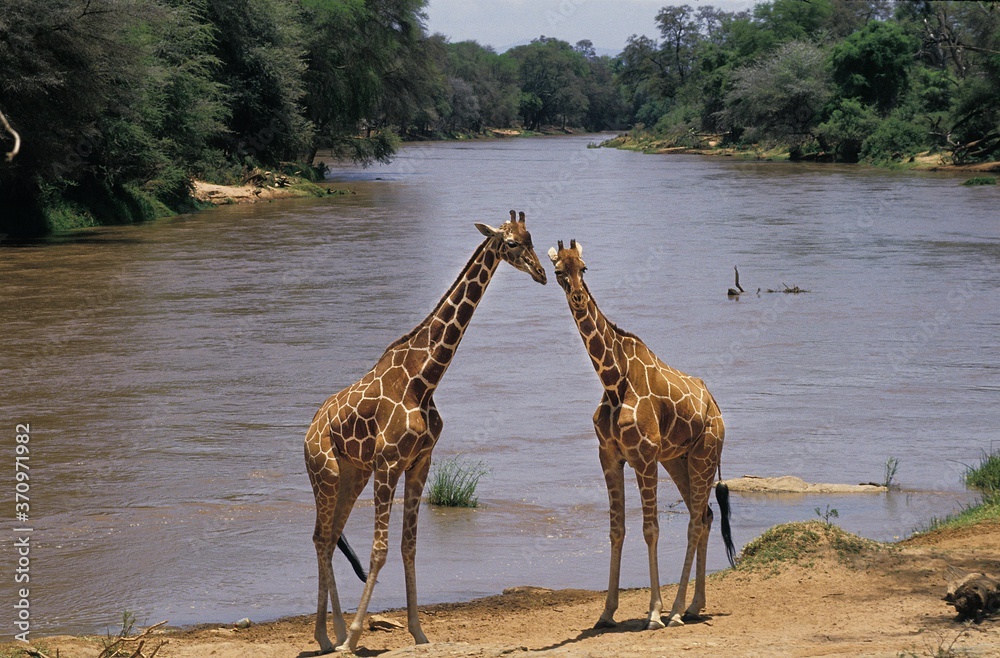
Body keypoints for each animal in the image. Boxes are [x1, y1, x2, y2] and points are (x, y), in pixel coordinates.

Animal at [305, 211, 547, 653]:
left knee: (329, 537)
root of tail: (308, 430)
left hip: (353, 474)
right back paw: (331, 636)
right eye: (511, 243)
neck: (425, 378)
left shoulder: (419, 461)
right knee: (321, 537)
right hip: (325, 471)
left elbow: (408, 547)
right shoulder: (388, 463)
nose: (541, 273)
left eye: (532, 239)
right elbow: (380, 550)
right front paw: (357, 635)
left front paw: (418, 632)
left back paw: (331, 635)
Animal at [547, 239, 735, 630]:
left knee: (695, 521)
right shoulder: (610, 456)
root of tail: (716, 406)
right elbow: (616, 530)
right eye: (559, 271)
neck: (613, 380)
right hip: (679, 461)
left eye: (584, 268)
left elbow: (651, 529)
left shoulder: (644, 456)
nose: (577, 297)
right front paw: (606, 612)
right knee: (706, 516)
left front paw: (653, 612)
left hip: (705, 455)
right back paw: (693, 606)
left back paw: (676, 611)